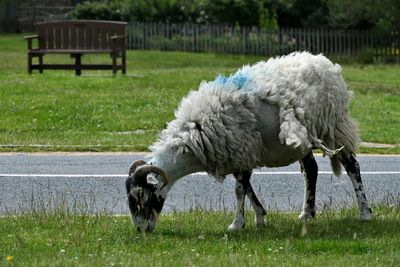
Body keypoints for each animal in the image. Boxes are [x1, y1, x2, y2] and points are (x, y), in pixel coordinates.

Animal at [126, 51, 372, 232]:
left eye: (142, 196)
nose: (141, 230)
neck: (194, 141)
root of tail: (326, 62)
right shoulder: (239, 155)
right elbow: (247, 189)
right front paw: (260, 217)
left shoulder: (243, 149)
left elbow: (239, 190)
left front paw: (237, 224)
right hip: (304, 139)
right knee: (311, 170)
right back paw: (306, 214)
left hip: (334, 127)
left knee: (352, 167)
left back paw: (365, 212)